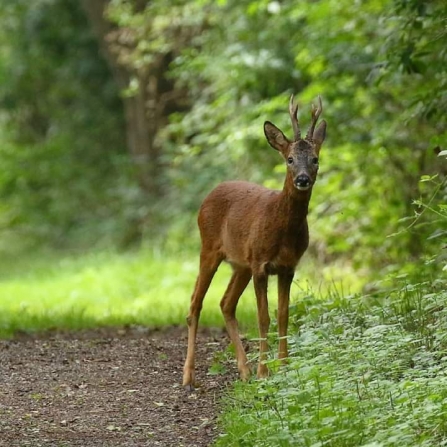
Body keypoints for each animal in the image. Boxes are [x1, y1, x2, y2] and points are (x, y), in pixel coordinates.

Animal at [184, 93, 328, 388]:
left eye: (315, 159)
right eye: (290, 159)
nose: (302, 179)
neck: (283, 230)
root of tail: (209, 195)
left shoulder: (288, 267)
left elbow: (283, 315)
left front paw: (284, 367)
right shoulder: (261, 264)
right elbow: (264, 317)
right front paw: (265, 372)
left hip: (241, 264)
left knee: (226, 303)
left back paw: (244, 370)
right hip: (209, 248)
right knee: (195, 303)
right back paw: (189, 377)